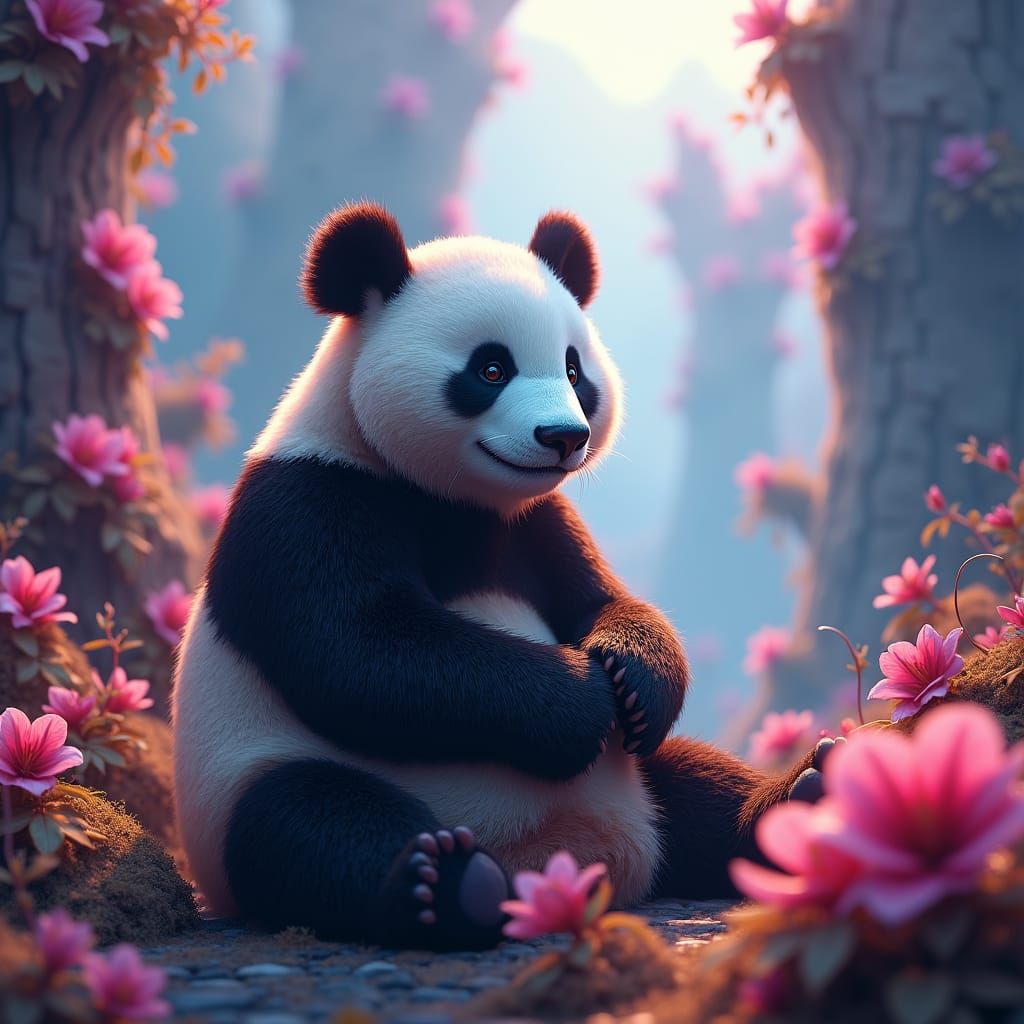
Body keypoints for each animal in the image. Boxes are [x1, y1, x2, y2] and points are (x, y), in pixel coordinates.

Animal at [172, 203, 821, 950]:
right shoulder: (310, 500)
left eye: (573, 368)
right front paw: (580, 701)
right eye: (490, 368)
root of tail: (562, 863)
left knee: (694, 782)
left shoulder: (538, 521)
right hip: (247, 777)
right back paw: (446, 883)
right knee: (305, 824)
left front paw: (634, 678)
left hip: (643, 787)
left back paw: (800, 802)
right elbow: (358, 652)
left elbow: (603, 598)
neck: (454, 501)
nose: (564, 437)